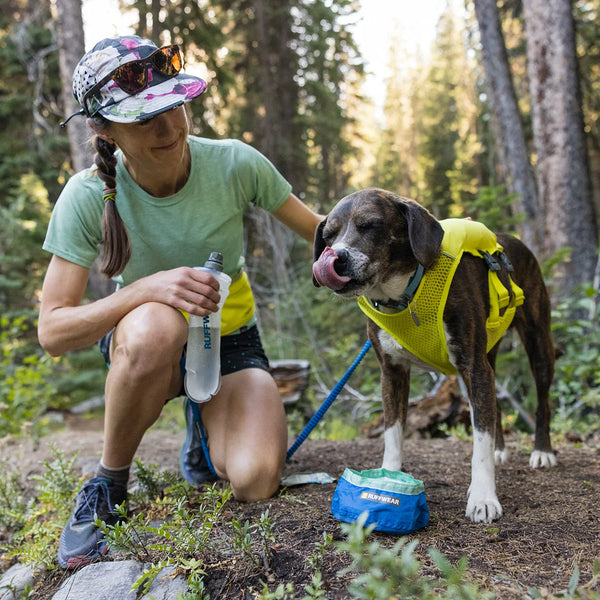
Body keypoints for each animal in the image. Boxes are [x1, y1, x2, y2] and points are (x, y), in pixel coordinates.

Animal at [314, 188, 556, 520]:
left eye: (371, 226)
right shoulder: (392, 372)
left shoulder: (473, 367)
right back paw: (499, 449)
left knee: (542, 401)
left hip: (537, 341)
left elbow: (479, 443)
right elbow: (393, 434)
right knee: (493, 404)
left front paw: (483, 497)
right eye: (328, 236)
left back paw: (542, 451)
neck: (404, 295)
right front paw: (387, 479)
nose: (336, 259)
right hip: (489, 357)